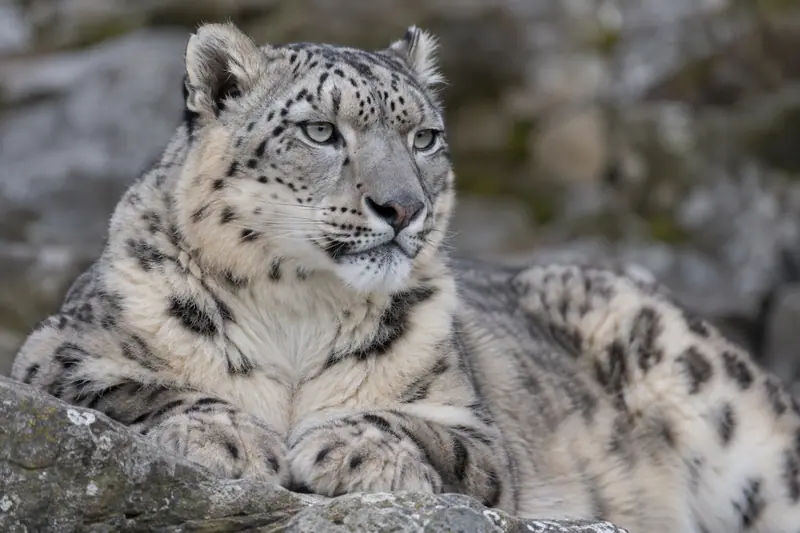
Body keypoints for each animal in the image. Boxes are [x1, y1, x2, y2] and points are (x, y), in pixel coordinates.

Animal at [10, 21, 800, 532]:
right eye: (320, 131)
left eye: (424, 137)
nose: (404, 206)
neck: (298, 310)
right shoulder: (58, 351)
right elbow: (128, 386)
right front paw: (226, 436)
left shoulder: (477, 429)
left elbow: (433, 434)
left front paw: (346, 446)